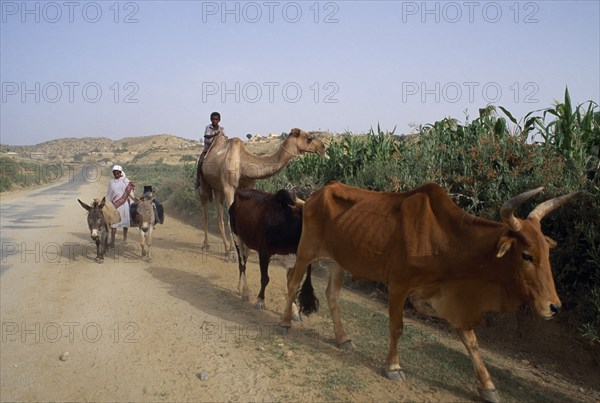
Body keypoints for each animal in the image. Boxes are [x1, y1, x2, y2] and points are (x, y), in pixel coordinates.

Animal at [197, 129, 324, 262]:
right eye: (309, 138)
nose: (323, 147)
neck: (243, 162)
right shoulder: (228, 188)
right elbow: (230, 220)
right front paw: (233, 253)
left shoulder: (248, 185)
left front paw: (247, 250)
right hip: (205, 184)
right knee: (205, 211)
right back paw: (207, 245)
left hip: (218, 189)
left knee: (218, 216)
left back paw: (225, 248)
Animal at [282, 183, 580, 403]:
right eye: (526, 255)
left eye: (547, 252)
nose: (554, 307)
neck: (446, 242)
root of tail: (314, 196)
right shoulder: (399, 285)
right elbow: (397, 328)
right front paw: (393, 367)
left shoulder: (452, 302)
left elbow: (470, 340)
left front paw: (488, 386)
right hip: (307, 250)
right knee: (293, 280)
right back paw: (286, 321)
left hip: (339, 260)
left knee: (331, 295)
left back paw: (342, 339)